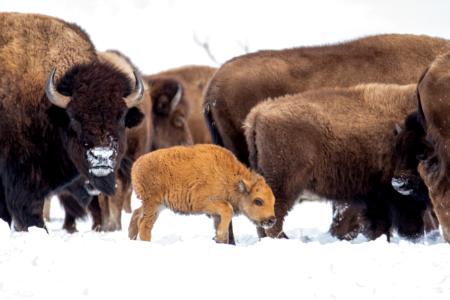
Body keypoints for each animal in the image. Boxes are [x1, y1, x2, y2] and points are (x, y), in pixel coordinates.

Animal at [130, 144, 276, 243]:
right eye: (258, 201)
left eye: (273, 201)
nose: (272, 220)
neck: (227, 177)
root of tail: (137, 164)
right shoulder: (202, 204)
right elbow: (227, 208)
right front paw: (219, 237)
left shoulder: (216, 214)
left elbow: (221, 220)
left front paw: (220, 239)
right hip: (153, 203)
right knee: (144, 224)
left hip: (157, 205)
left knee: (136, 214)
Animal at [244, 83, 430, 240]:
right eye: (415, 153)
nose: (399, 183)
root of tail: (258, 113)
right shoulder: (396, 195)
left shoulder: (377, 197)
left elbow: (380, 225)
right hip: (285, 185)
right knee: (274, 216)